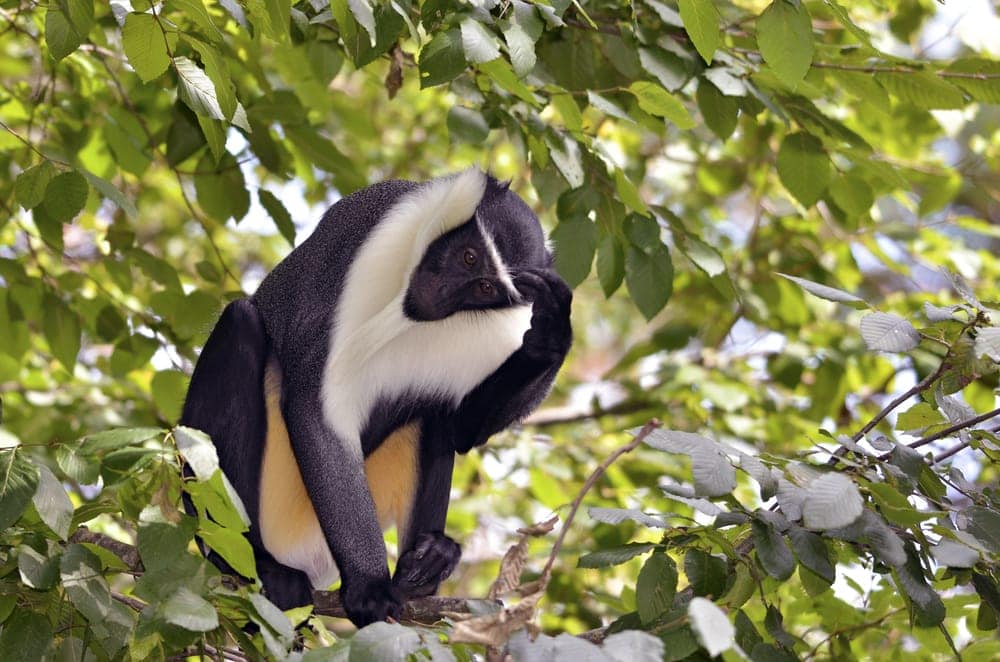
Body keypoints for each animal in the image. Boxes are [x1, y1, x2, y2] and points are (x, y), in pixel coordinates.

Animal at [180, 169, 572, 627]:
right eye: (470, 257)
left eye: (485, 287)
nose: (440, 293)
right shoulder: (372, 239)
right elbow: (318, 408)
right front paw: (368, 586)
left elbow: (462, 429)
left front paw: (550, 335)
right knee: (240, 322)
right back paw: (257, 563)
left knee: (434, 412)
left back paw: (424, 570)